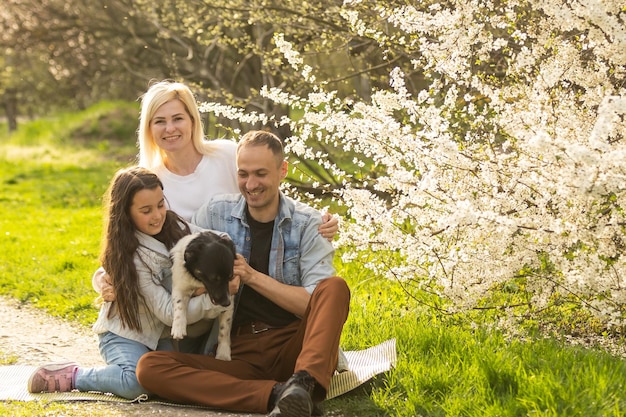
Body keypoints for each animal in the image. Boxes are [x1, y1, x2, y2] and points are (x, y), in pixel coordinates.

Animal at [169, 229, 235, 360]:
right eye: (214, 278)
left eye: (230, 277)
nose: (226, 303)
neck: (198, 281)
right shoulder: (179, 287)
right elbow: (179, 304)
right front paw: (178, 327)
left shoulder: (230, 302)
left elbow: (224, 329)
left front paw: (223, 353)